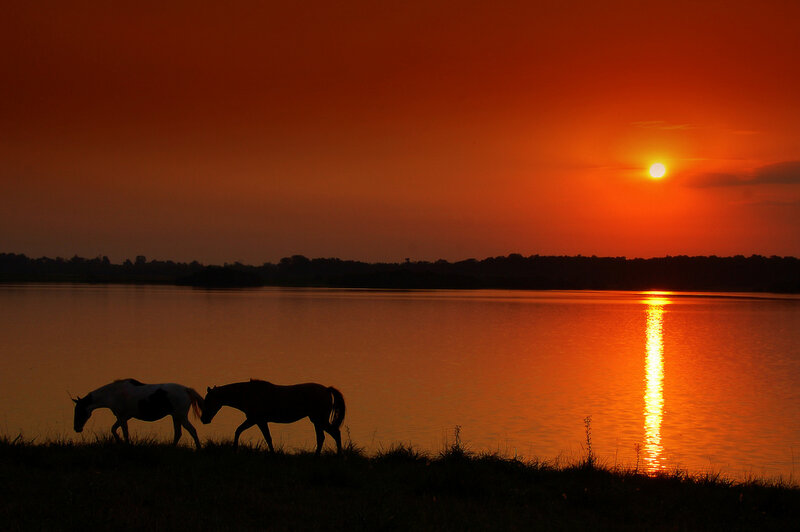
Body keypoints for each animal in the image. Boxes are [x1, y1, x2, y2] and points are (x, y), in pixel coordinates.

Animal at [72, 378, 204, 448]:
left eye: (79, 410)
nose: (77, 428)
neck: (112, 394)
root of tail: (186, 390)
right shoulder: (124, 417)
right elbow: (114, 429)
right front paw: (119, 441)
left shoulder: (122, 417)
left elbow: (124, 432)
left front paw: (125, 444)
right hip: (175, 417)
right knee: (178, 433)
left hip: (181, 416)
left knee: (192, 430)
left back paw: (198, 449)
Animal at [201, 379, 346, 455]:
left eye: (208, 401)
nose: (203, 419)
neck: (248, 393)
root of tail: (326, 389)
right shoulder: (257, 420)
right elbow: (262, 436)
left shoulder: (256, 420)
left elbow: (259, 435)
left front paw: (235, 449)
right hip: (316, 421)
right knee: (322, 437)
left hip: (319, 420)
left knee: (335, 433)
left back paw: (339, 455)